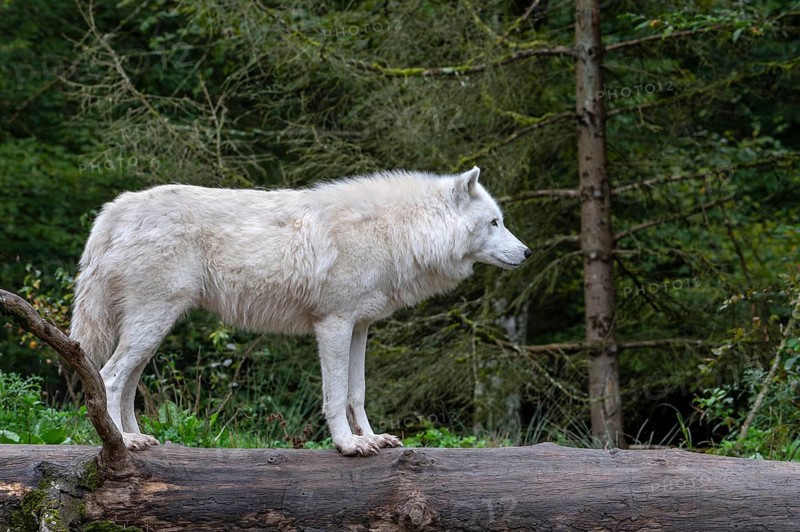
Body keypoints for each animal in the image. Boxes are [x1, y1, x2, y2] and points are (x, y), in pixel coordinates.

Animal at [70, 166, 531, 456]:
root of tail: (113, 209)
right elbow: (335, 395)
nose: (527, 253)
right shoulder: (333, 325)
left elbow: (358, 393)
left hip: (153, 329)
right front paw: (348, 446)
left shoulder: (360, 327)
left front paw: (373, 438)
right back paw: (123, 445)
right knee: (109, 377)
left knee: (128, 386)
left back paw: (140, 439)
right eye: (494, 223)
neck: (395, 232)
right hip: (152, 324)